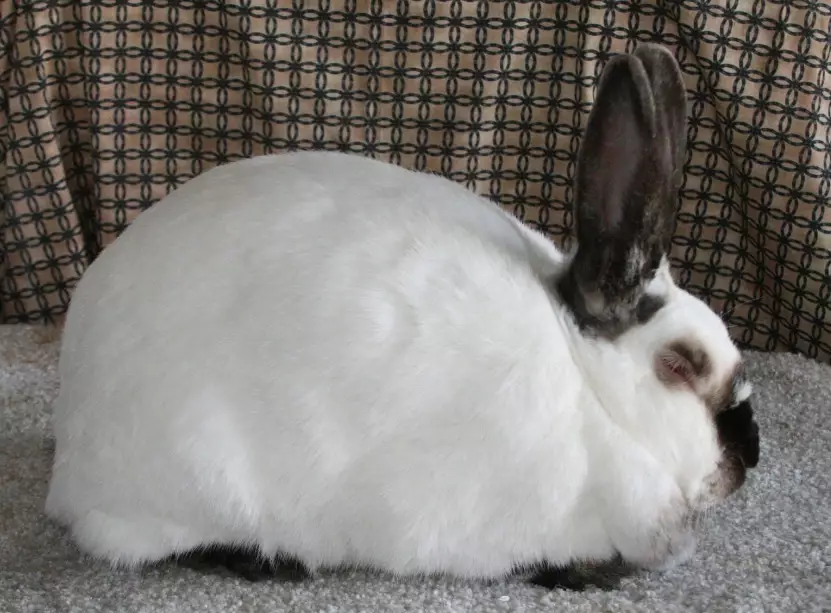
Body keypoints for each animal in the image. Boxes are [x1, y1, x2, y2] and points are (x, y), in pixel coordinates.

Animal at [44, 43, 760, 589]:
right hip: (196, 476)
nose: (749, 453)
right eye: (680, 365)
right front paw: (584, 576)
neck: (592, 392)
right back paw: (269, 564)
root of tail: (68, 468)